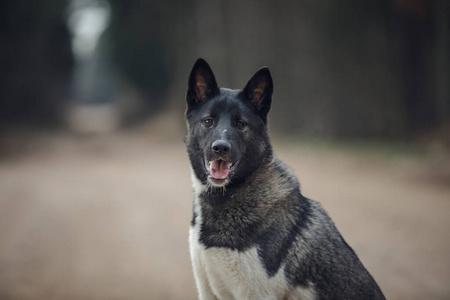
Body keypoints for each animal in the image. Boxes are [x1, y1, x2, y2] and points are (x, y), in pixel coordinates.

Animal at [185, 58, 384, 300]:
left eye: (240, 124)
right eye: (208, 121)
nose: (221, 148)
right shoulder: (208, 291)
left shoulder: (256, 295)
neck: (231, 195)